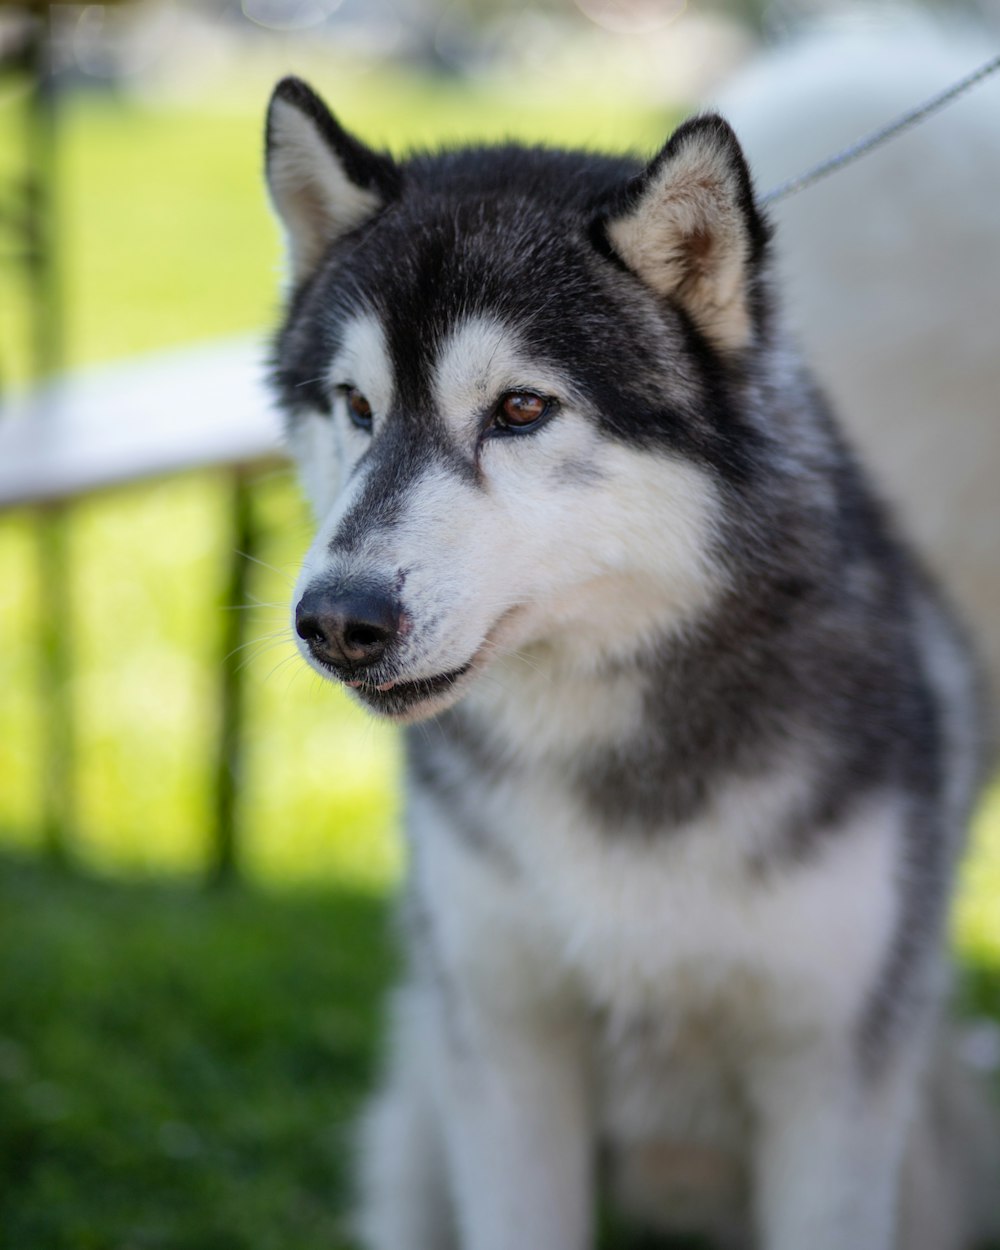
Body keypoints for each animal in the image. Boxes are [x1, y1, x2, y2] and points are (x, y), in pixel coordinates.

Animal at [261, 75, 995, 1250]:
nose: (336, 620)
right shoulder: (503, 1051)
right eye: (355, 406)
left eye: (521, 408)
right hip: (421, 1118)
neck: (604, 741)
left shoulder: (832, 1075)